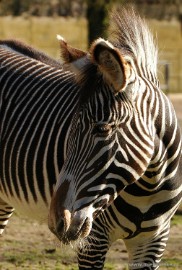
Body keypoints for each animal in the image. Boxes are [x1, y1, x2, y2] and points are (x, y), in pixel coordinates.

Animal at [0, 5, 181, 270]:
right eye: (71, 128)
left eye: (102, 129)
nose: (57, 221)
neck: (149, 186)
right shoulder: (94, 241)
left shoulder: (154, 241)